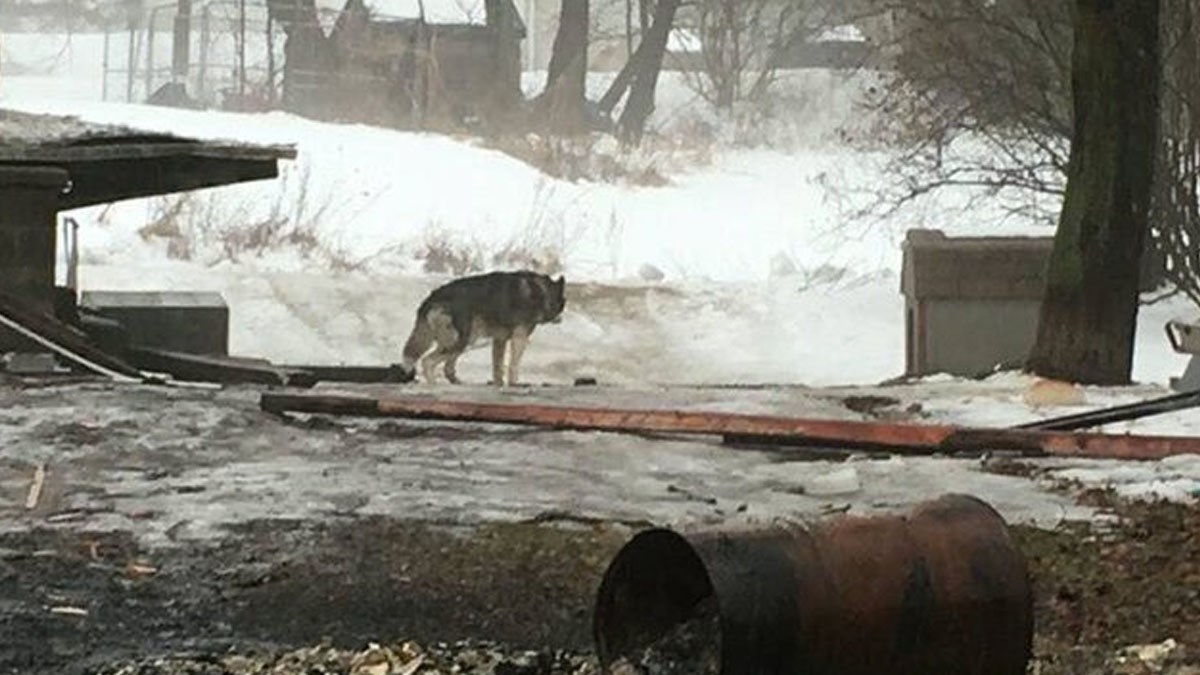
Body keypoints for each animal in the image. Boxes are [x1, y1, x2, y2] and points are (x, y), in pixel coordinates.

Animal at [400, 267, 564, 384]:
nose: (560, 319)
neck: (538, 292)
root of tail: (431, 298)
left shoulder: (500, 340)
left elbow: (498, 368)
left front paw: (499, 384)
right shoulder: (518, 339)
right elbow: (513, 365)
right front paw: (513, 384)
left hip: (464, 340)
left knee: (446, 365)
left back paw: (455, 381)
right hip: (461, 341)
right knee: (428, 361)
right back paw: (433, 384)